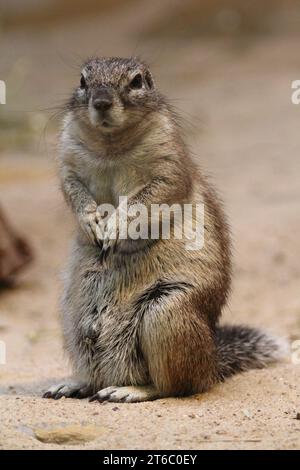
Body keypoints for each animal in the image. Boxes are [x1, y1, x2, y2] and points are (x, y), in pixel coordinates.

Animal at [43, 57, 288, 402]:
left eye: (136, 81)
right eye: (82, 80)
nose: (102, 102)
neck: (111, 147)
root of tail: (211, 362)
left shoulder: (169, 168)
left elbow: (147, 199)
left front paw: (114, 226)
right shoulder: (68, 159)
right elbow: (73, 190)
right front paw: (91, 221)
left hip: (166, 314)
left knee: (174, 386)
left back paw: (128, 390)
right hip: (71, 318)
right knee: (96, 375)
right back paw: (73, 384)